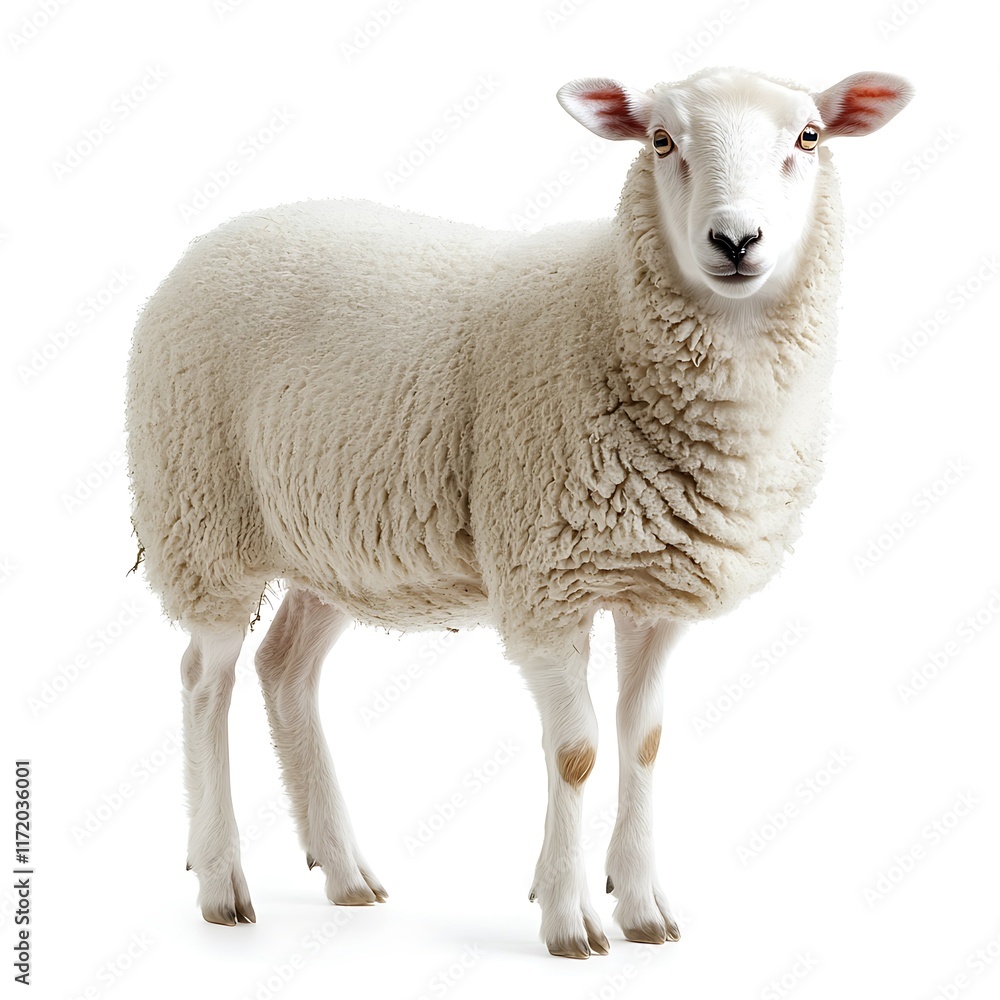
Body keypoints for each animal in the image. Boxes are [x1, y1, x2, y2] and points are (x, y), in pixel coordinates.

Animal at [126, 66, 913, 958]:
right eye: (661, 140)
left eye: (809, 137)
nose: (736, 240)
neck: (609, 318)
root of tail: (211, 240)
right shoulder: (546, 582)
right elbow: (576, 752)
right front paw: (569, 917)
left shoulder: (656, 590)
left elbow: (643, 743)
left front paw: (641, 907)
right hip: (202, 520)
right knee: (204, 680)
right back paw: (221, 879)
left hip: (335, 543)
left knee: (284, 670)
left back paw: (345, 870)